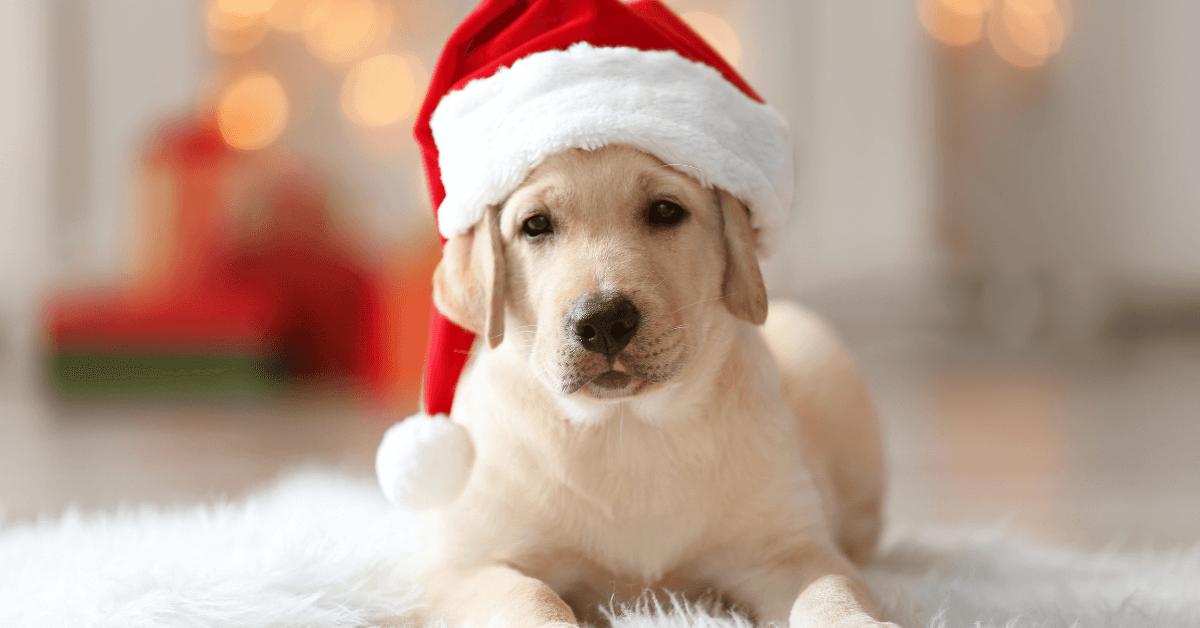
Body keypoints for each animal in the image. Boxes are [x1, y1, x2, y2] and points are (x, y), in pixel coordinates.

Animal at [420, 143, 892, 628]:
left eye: (665, 211)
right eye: (535, 225)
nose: (604, 321)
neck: (627, 427)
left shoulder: (792, 552)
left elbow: (831, 589)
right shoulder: (467, 568)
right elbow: (532, 597)